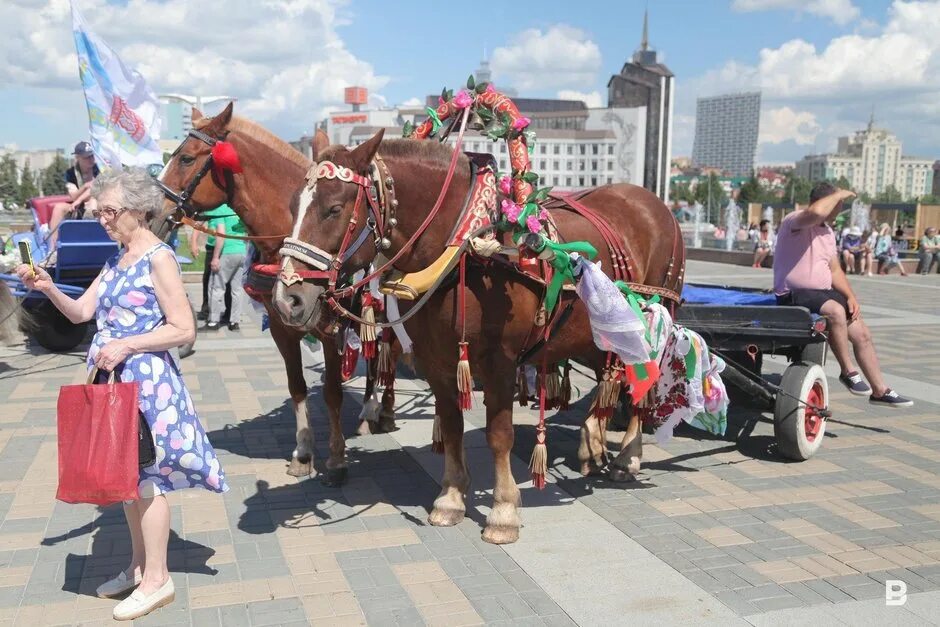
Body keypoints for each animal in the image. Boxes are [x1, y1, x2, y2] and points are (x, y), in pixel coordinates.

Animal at [156, 103, 398, 486]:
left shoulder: (329, 329)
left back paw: (379, 408)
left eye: (186, 158)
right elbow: (296, 386)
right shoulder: (283, 326)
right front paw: (303, 452)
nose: (150, 212)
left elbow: (332, 392)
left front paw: (336, 458)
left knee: (390, 351)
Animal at [270, 132, 684, 544]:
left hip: (653, 320)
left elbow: (499, 435)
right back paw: (593, 445)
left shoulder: (500, 362)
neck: (462, 249)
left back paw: (627, 457)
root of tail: (653, 204)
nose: (288, 299)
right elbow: (452, 425)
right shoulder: (435, 360)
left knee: (640, 385)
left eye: (334, 209)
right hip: (599, 335)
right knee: (609, 381)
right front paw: (451, 498)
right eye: (291, 206)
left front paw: (503, 512)